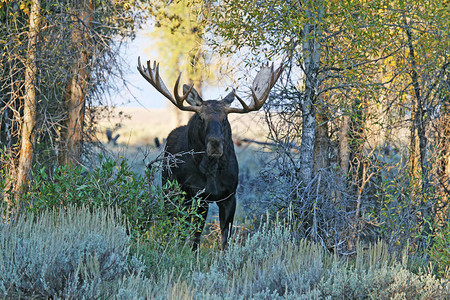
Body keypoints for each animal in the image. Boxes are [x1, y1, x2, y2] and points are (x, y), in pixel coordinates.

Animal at [139, 57, 284, 250]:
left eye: (225, 118)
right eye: (201, 118)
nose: (215, 143)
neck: (213, 171)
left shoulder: (229, 195)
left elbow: (225, 237)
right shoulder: (197, 195)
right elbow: (195, 235)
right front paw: (189, 254)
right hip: (170, 188)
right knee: (172, 221)